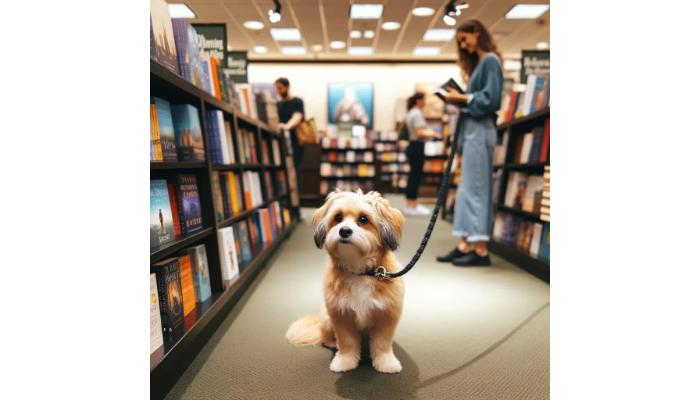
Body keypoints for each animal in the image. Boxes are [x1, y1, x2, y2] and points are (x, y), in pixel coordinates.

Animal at [284, 189, 404, 374]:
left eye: (363, 219)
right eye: (338, 217)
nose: (344, 231)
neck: (360, 273)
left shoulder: (387, 316)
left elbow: (382, 344)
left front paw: (386, 363)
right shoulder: (341, 315)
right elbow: (347, 343)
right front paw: (344, 362)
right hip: (327, 318)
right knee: (325, 336)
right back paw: (332, 343)